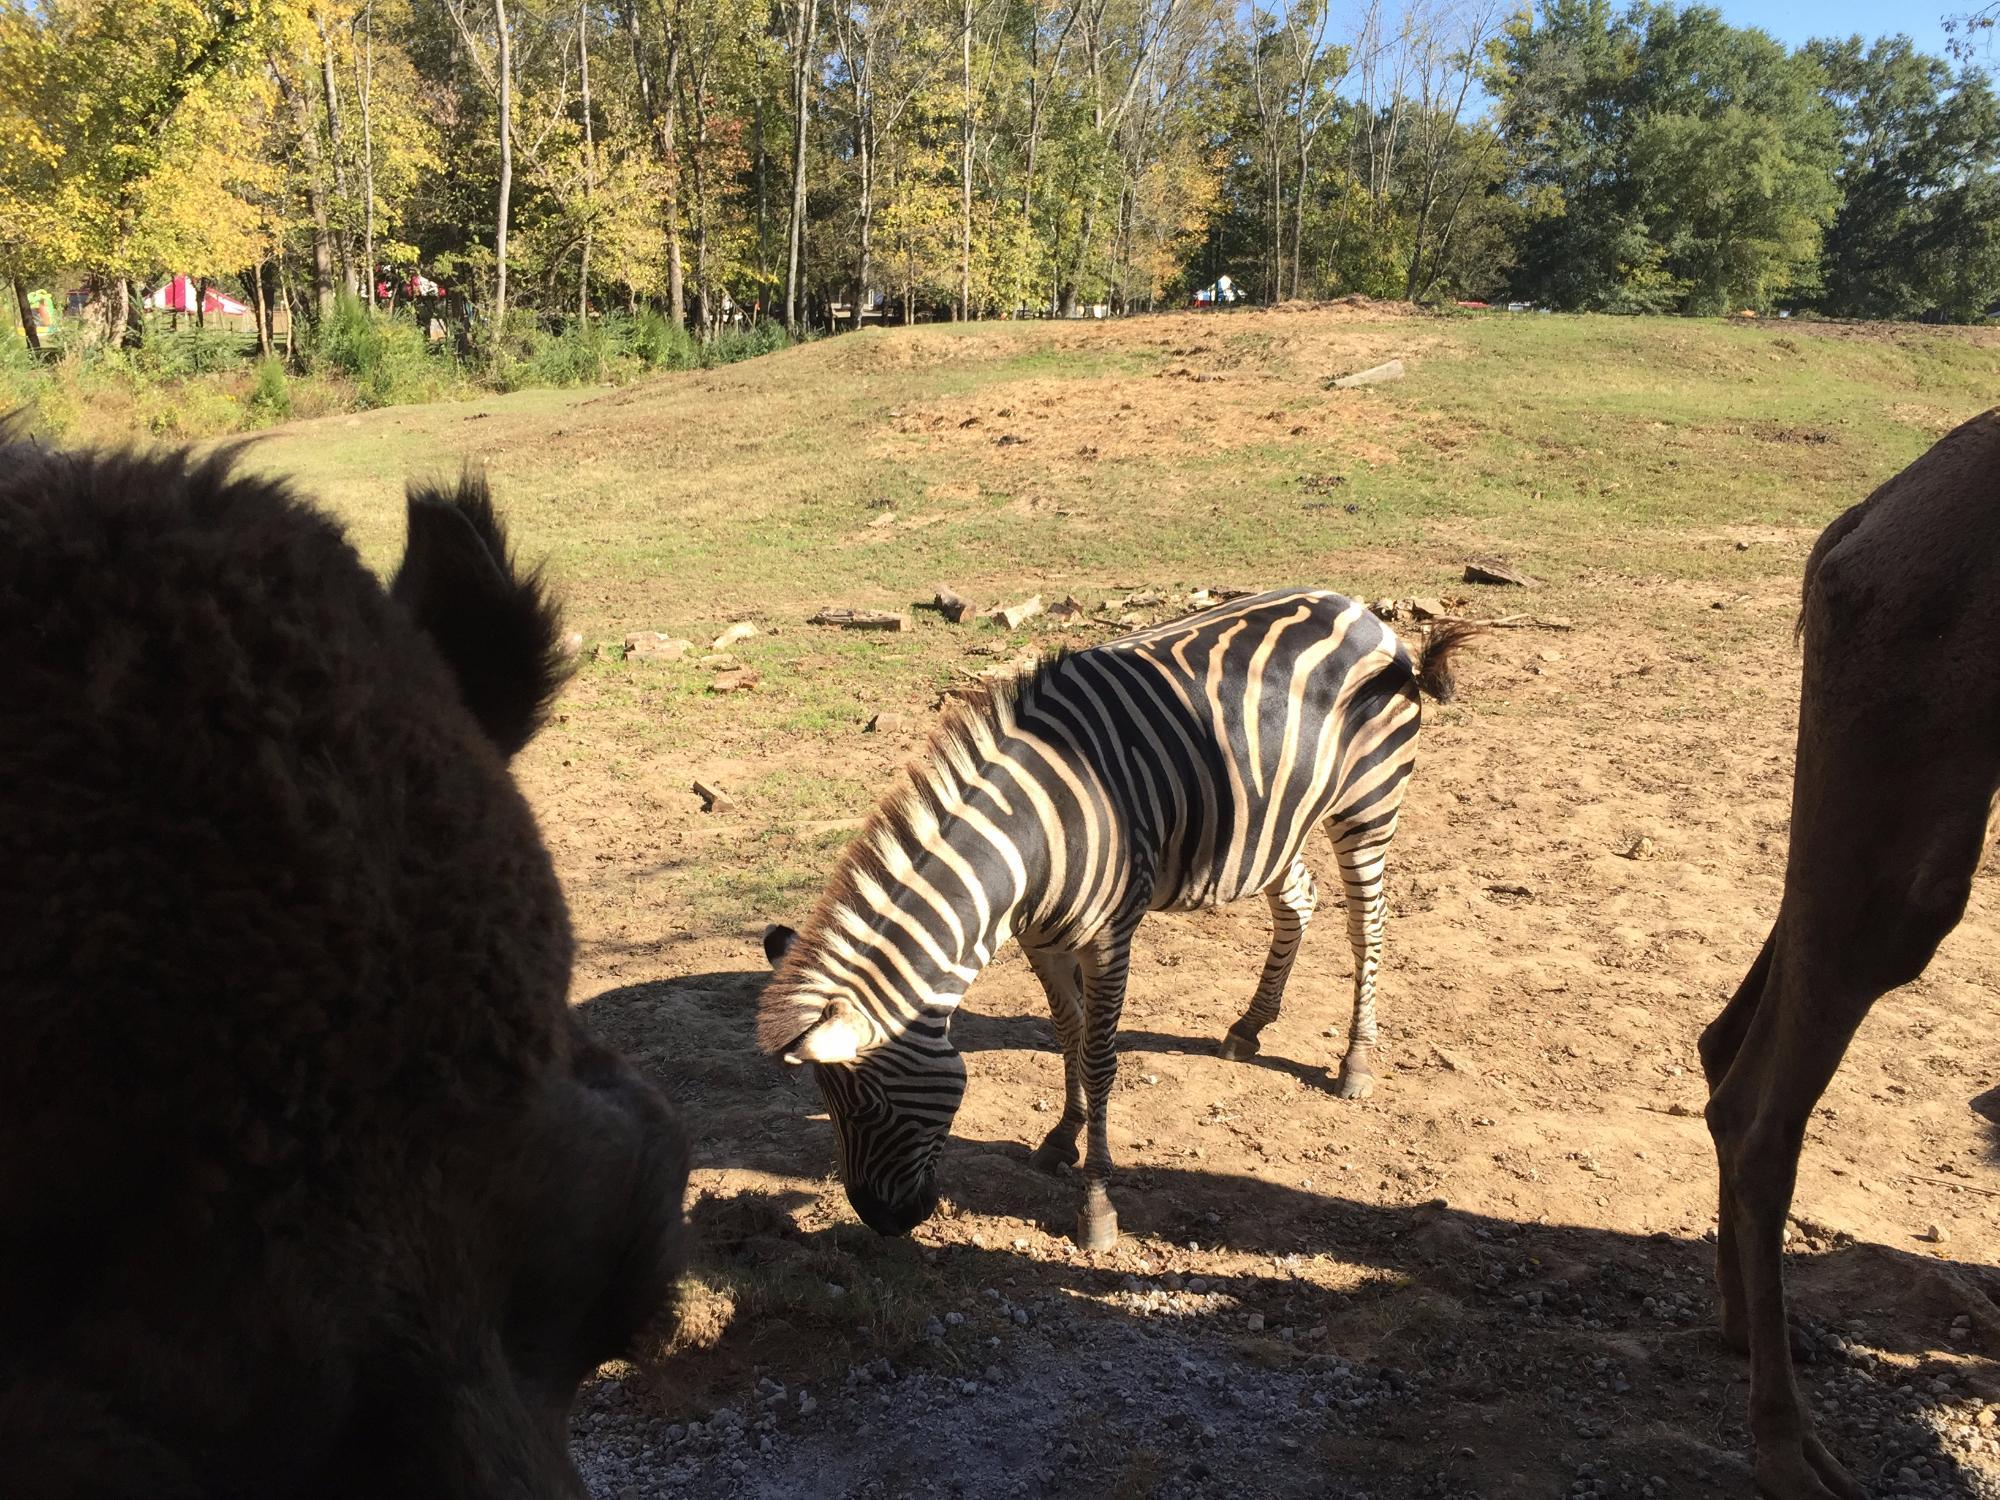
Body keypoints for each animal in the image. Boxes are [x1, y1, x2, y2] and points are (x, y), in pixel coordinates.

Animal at [756, 592, 1480, 1248]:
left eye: (869, 1106)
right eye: (828, 1104)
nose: (883, 1222)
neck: (1034, 839)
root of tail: (1360, 611)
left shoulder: (1108, 940)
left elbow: (1101, 1058)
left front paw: (1097, 1206)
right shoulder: (1041, 941)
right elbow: (1067, 1036)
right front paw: (1061, 1137)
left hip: (1368, 804)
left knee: (1367, 928)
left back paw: (1355, 1060)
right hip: (1274, 823)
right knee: (1298, 901)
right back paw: (1249, 1025)